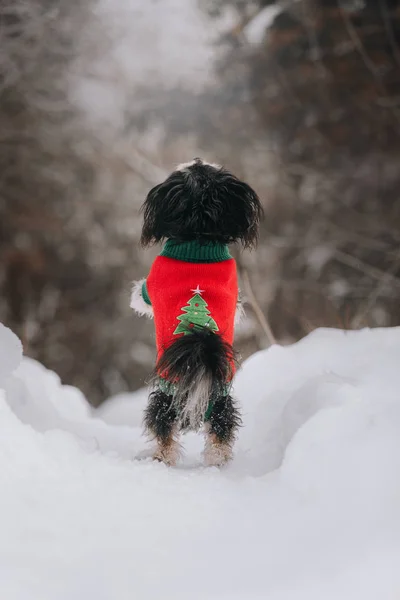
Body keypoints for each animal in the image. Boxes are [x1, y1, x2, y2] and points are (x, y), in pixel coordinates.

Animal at [131, 157, 262, 466]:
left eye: (200, 169)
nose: (198, 159)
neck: (198, 235)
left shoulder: (150, 285)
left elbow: (140, 296)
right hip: (223, 409)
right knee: (221, 437)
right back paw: (217, 463)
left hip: (163, 403)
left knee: (163, 434)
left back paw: (160, 459)